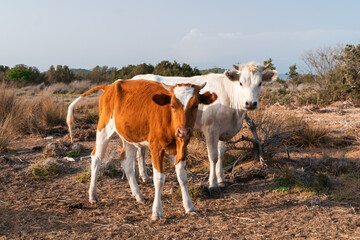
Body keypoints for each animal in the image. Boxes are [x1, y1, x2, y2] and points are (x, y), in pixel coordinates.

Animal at [131, 63, 278, 189]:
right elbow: (213, 156)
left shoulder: (223, 131)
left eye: (260, 83)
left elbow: (221, 155)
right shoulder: (211, 129)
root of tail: (135, 78)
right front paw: (212, 183)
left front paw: (221, 179)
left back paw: (144, 177)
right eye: (241, 83)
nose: (250, 103)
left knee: (140, 151)